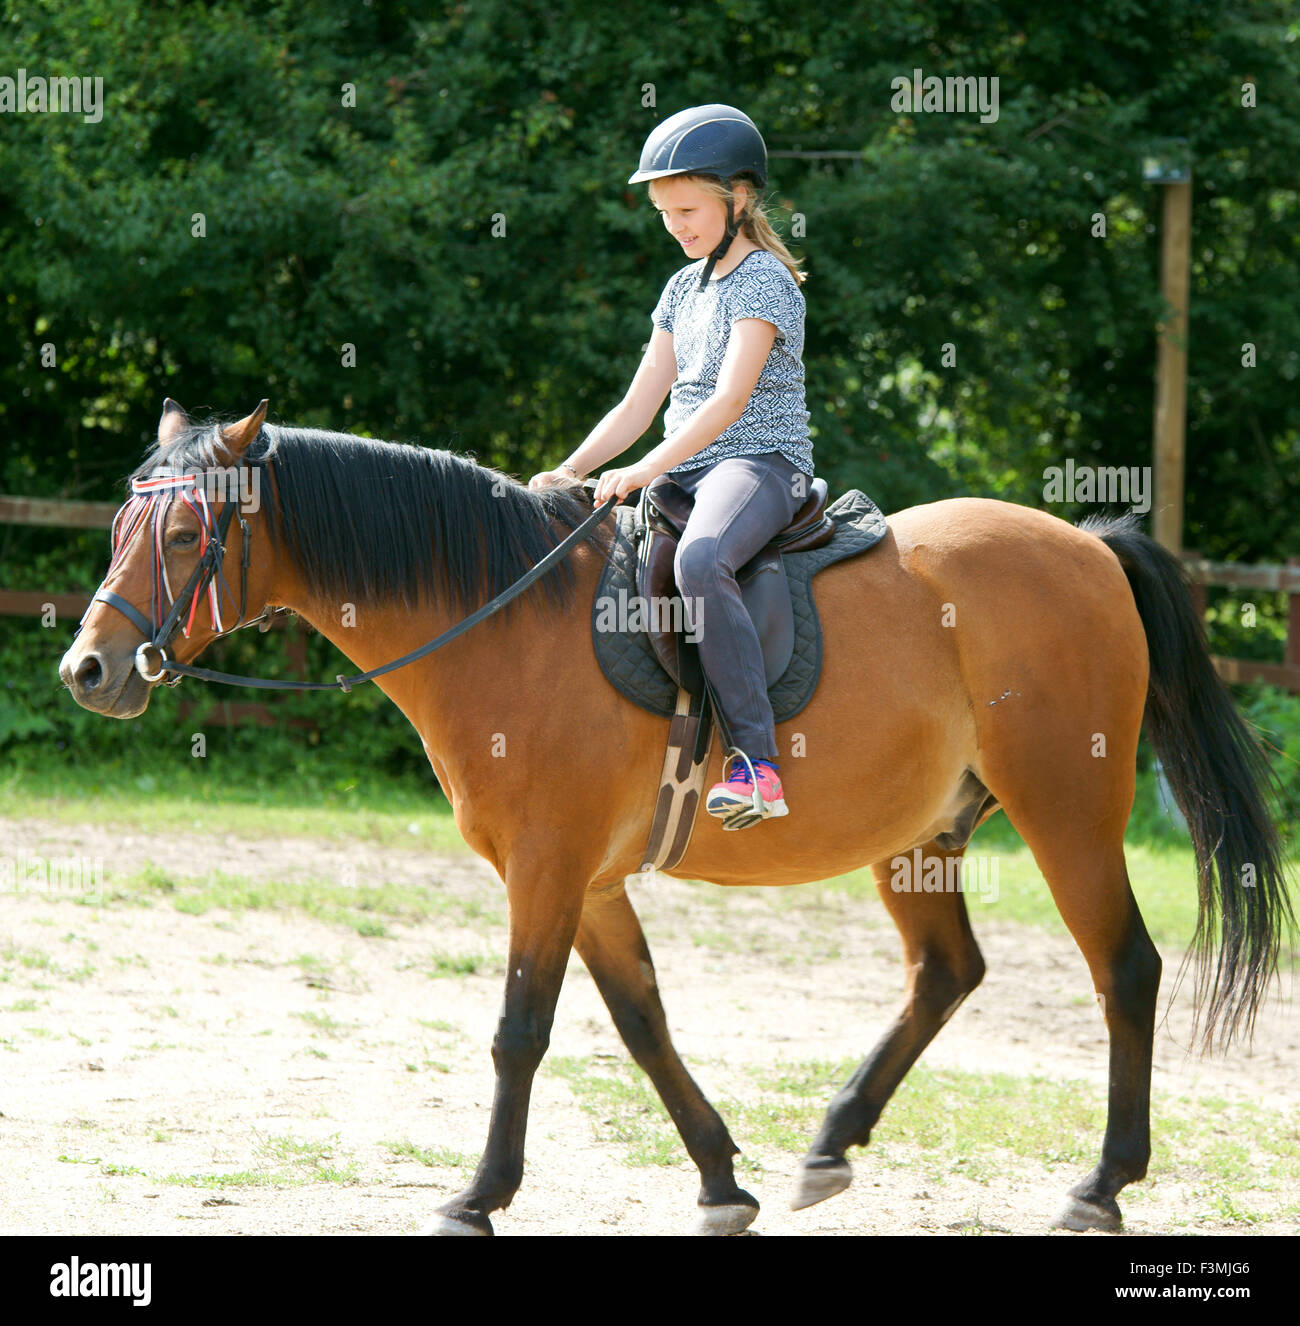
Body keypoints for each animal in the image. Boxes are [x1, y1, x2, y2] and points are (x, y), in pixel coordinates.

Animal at [58, 400, 1289, 1230]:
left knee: (1125, 970)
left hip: (1067, 813)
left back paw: (1102, 1182)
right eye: (121, 523)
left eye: (184, 538)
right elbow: (642, 1024)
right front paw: (720, 1177)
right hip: (916, 837)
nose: (89, 669)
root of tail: (1090, 547)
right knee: (947, 972)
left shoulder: (547, 870)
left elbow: (520, 1031)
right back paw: (831, 1144)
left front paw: (478, 1194)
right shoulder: (591, 880)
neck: (501, 620)